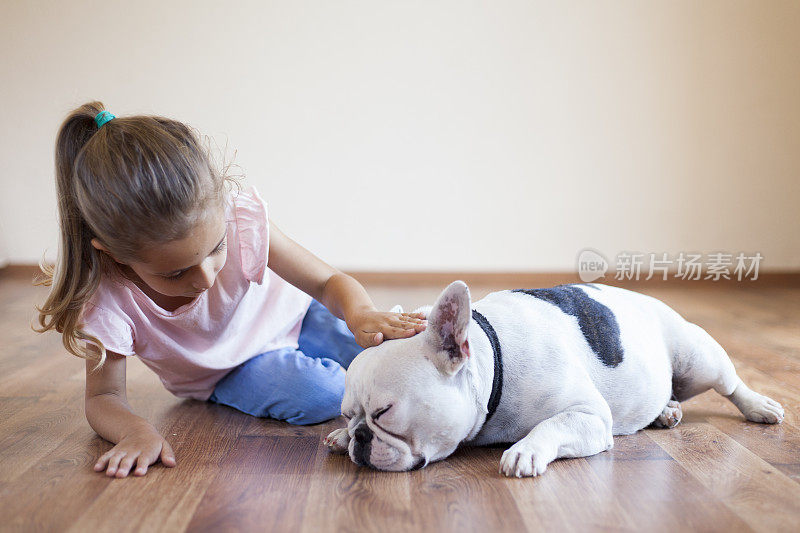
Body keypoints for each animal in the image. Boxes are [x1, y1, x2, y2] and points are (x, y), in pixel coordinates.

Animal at [324, 280, 780, 476]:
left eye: (384, 413)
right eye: (349, 414)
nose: (361, 436)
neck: (495, 363)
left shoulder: (590, 417)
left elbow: (552, 425)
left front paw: (526, 450)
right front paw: (341, 436)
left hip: (697, 357)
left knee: (730, 384)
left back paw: (759, 406)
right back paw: (666, 411)